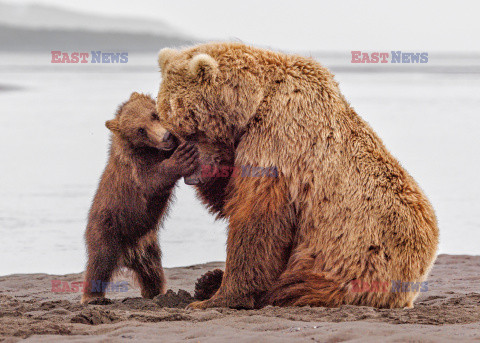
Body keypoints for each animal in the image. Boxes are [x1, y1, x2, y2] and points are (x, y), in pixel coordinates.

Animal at [81, 93, 198, 304]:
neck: (150, 150)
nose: (166, 136)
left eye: (154, 115)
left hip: (147, 246)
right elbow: (152, 180)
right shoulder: (135, 168)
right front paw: (183, 158)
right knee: (99, 264)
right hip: (108, 229)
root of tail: (126, 255)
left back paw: (156, 292)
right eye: (140, 130)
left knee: (152, 272)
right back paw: (92, 297)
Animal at [157, 42, 438, 310]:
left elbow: (257, 217)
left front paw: (220, 298)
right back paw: (207, 279)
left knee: (297, 285)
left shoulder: (279, 141)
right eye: (170, 123)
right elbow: (229, 196)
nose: (192, 176)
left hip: (349, 263)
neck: (254, 103)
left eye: (188, 125)